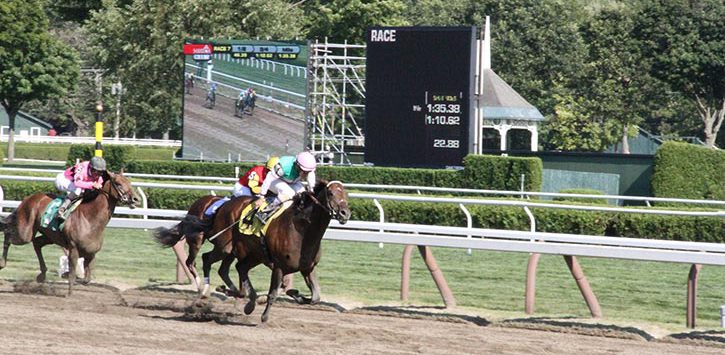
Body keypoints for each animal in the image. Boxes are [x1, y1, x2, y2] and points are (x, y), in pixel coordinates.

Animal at [0, 172, 137, 294]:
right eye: (118, 183)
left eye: (129, 182)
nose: (136, 199)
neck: (90, 219)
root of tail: (29, 198)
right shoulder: (73, 249)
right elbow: (73, 274)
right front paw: (69, 292)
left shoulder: (91, 253)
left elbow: (86, 279)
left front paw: (70, 276)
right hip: (25, 233)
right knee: (8, 234)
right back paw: (2, 263)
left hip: (50, 236)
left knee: (37, 243)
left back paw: (42, 274)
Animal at [230, 182, 350, 324]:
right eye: (331, 193)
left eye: (346, 193)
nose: (345, 213)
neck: (302, 233)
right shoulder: (279, 266)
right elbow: (273, 294)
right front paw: (264, 316)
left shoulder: (308, 268)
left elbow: (315, 297)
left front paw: (295, 293)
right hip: (240, 247)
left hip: (257, 254)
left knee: (241, 267)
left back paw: (250, 304)